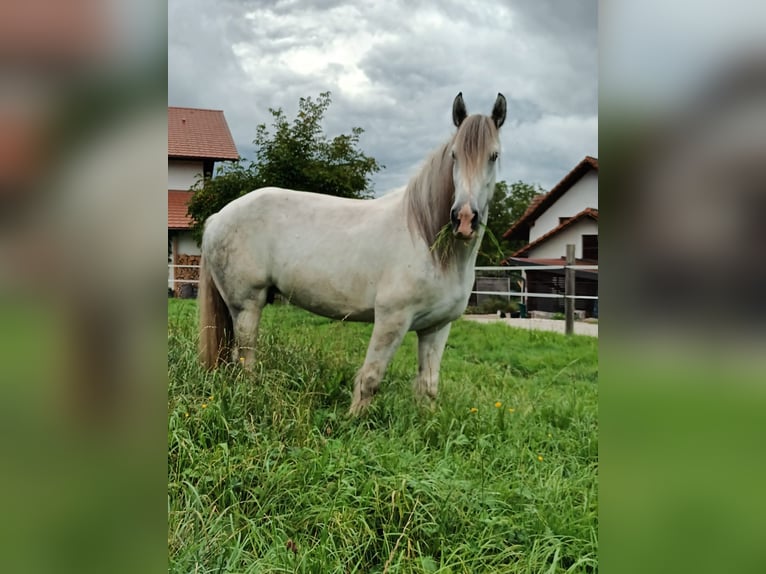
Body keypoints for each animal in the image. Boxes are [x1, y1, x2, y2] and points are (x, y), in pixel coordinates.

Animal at [201, 92, 508, 414]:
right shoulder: (391, 320)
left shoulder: (437, 327)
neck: (430, 245)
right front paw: (353, 420)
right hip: (248, 304)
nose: (464, 219)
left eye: (494, 156)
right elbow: (370, 378)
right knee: (245, 357)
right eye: (454, 156)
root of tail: (217, 218)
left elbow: (427, 387)